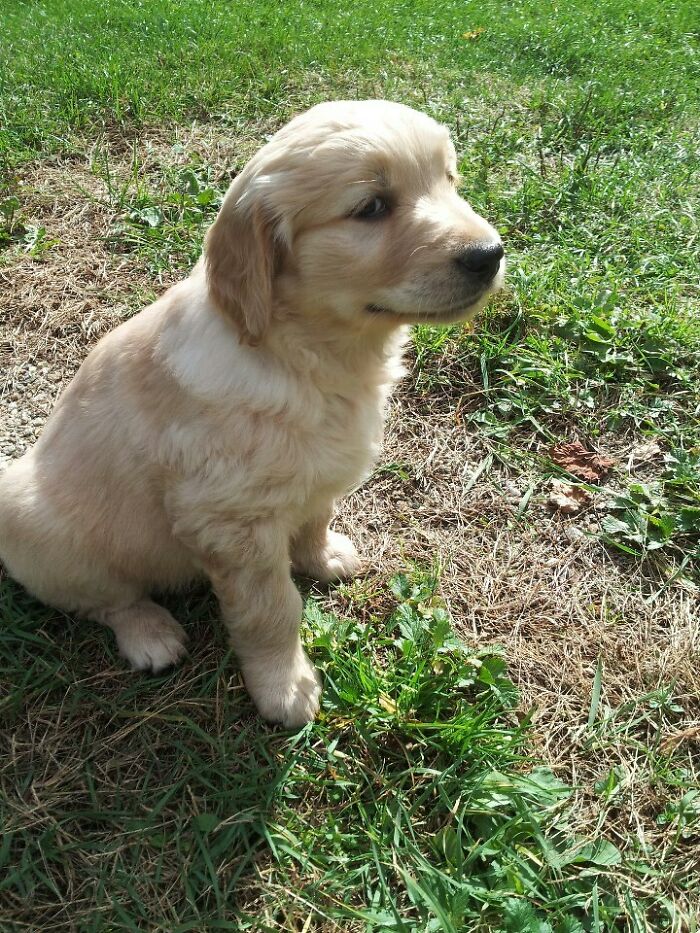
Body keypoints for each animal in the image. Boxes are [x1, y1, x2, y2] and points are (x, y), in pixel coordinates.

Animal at [0, 102, 504, 728]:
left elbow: (315, 514)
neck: (308, 354)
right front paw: (284, 688)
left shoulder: (314, 476)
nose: (491, 254)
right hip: (39, 527)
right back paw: (150, 634)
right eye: (372, 207)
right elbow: (273, 609)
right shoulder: (233, 523)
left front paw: (323, 556)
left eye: (450, 180)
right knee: (107, 599)